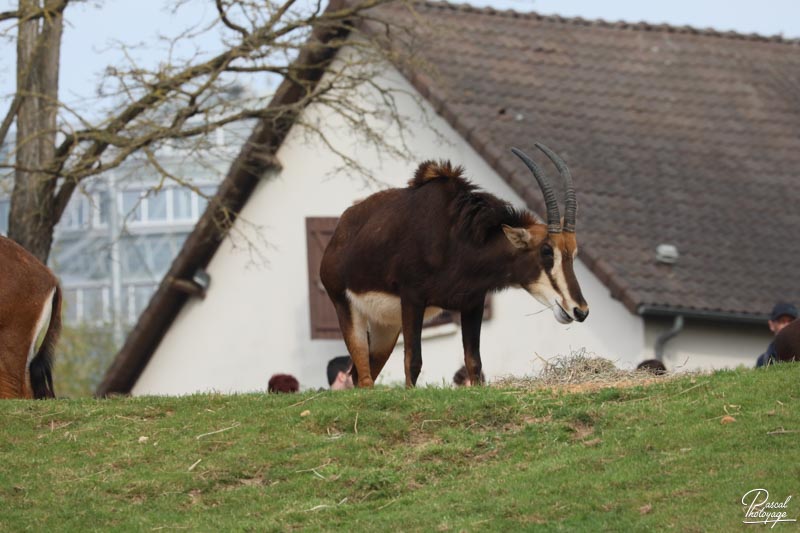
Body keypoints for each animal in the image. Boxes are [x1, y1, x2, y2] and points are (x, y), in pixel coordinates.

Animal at [318, 143, 588, 388]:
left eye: (573, 252)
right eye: (546, 250)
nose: (580, 310)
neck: (456, 237)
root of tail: (338, 234)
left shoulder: (472, 304)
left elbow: (474, 363)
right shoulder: (413, 299)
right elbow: (413, 361)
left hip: (386, 325)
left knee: (362, 374)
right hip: (347, 307)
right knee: (364, 376)